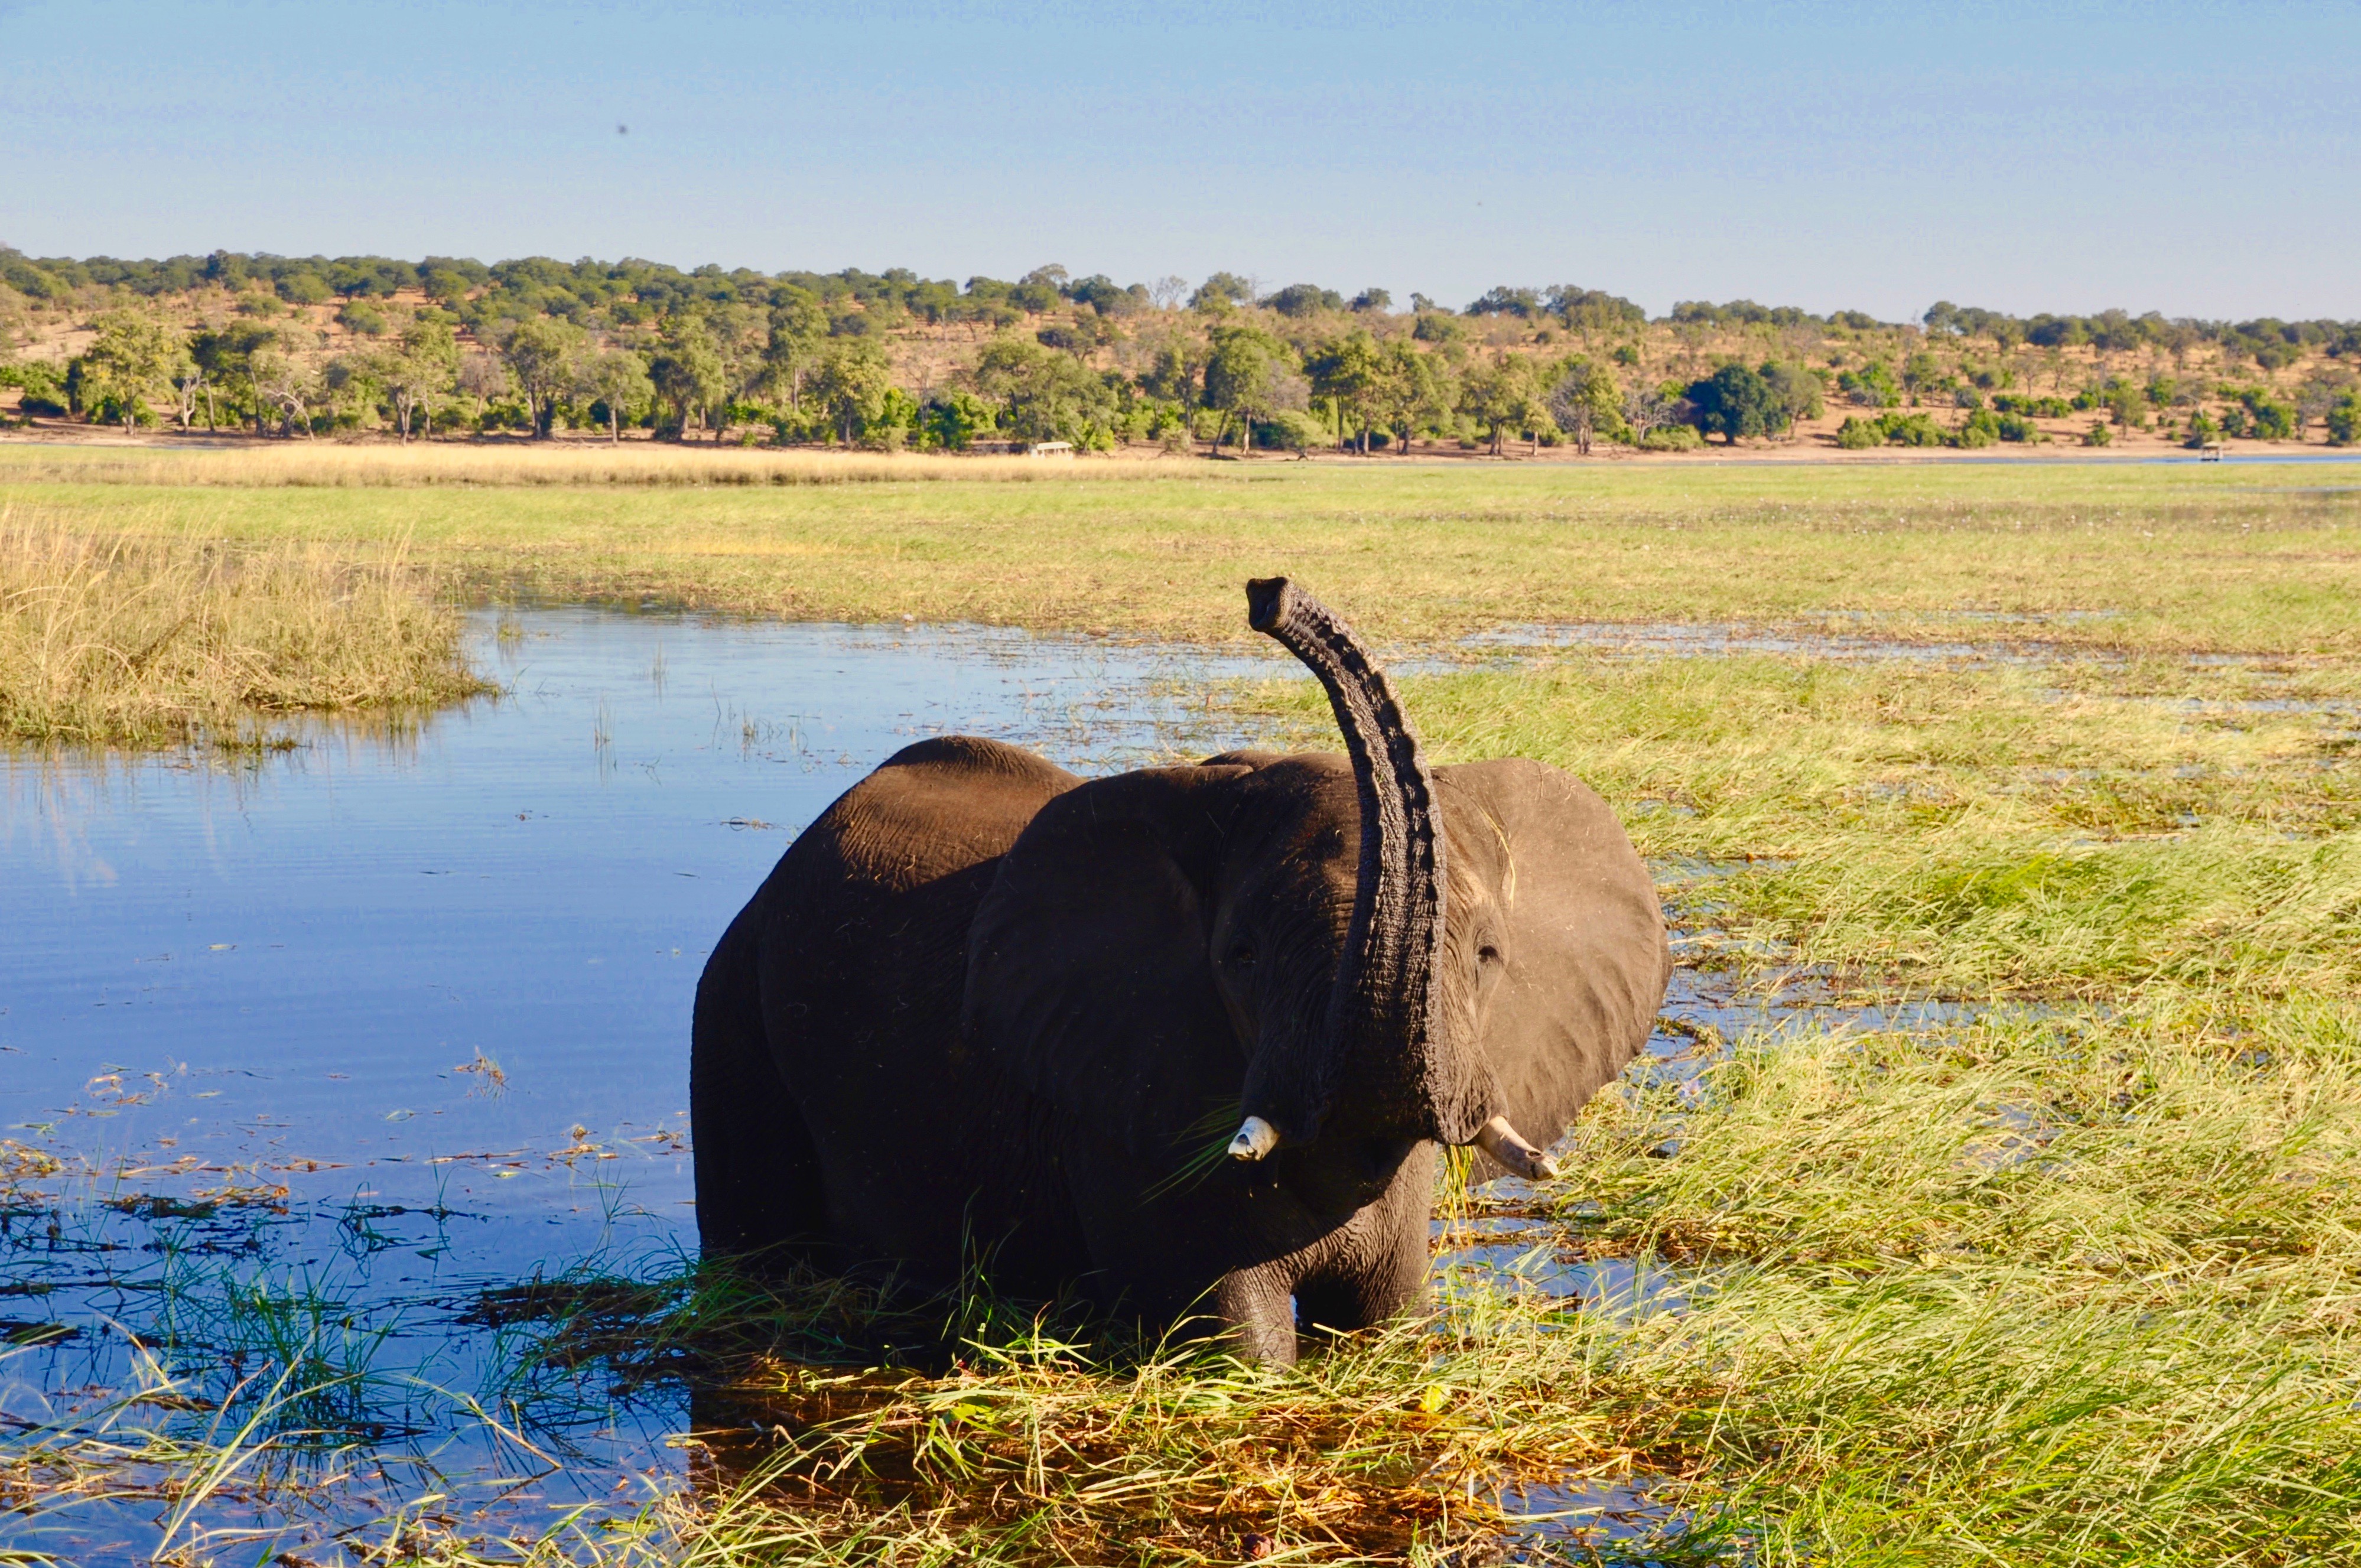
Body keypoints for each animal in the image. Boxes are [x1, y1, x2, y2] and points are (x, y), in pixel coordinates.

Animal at [689, 576, 1671, 1360]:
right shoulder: (1127, 1104)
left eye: (1487, 956)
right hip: (732, 1004)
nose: (1270, 594)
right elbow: (1234, 1343)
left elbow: (1388, 1323)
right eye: (1242, 957)